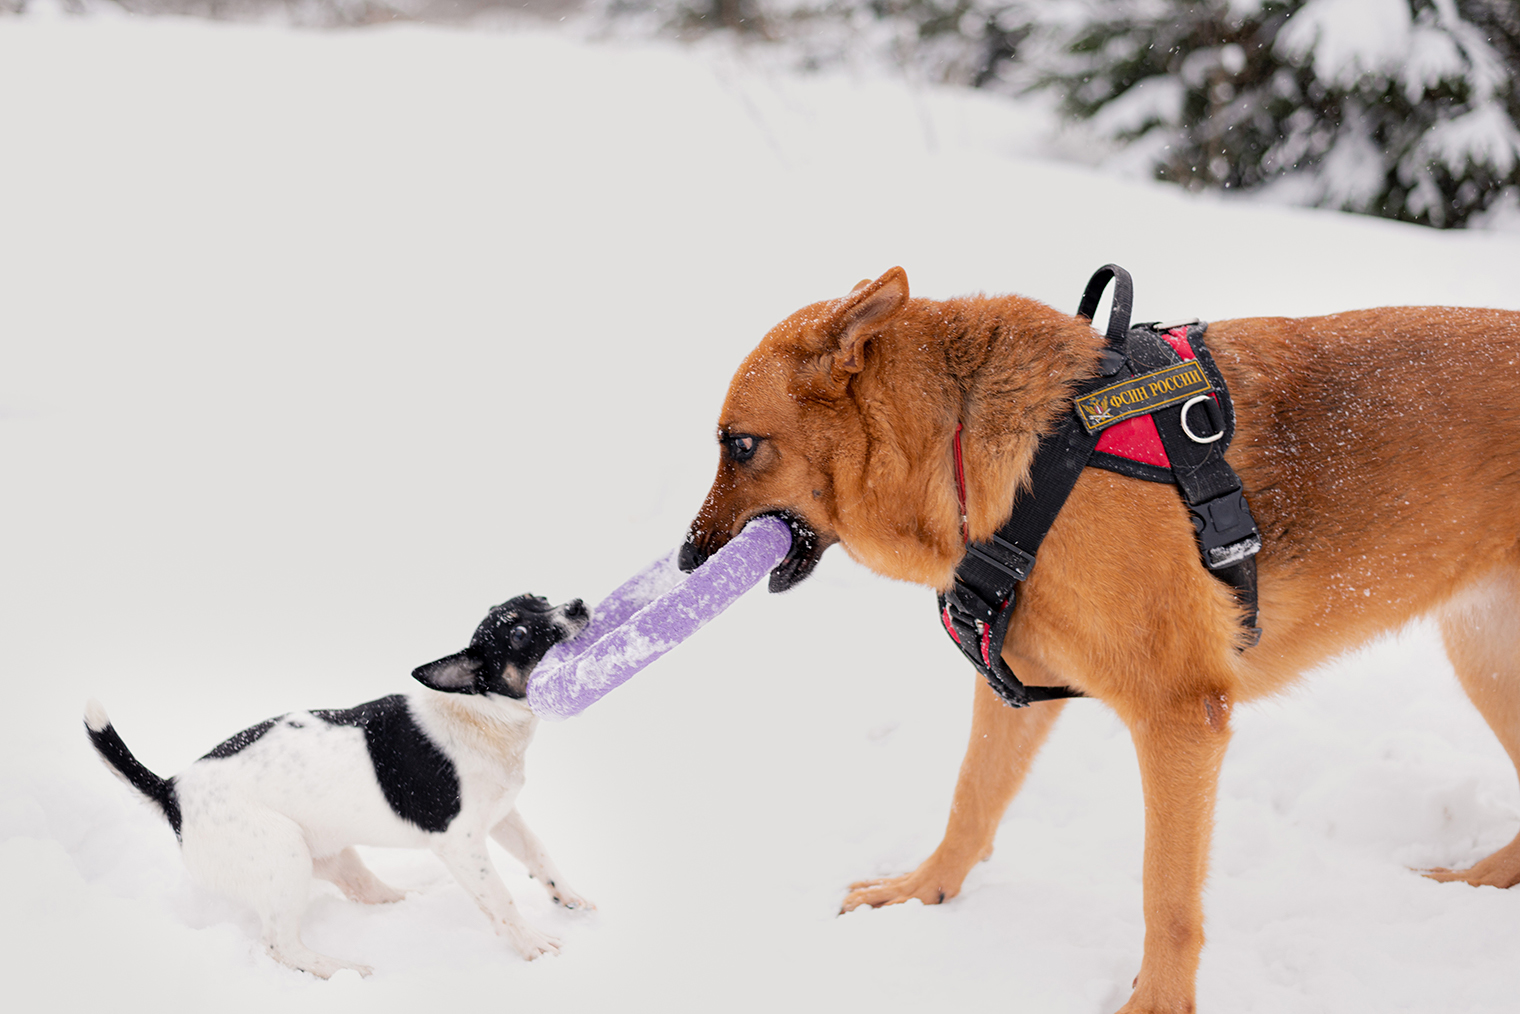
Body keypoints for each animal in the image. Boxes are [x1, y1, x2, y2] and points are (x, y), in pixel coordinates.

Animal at [81, 595, 592, 972]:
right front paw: (531, 943)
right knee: (280, 945)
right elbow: (501, 898)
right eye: (519, 633)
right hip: (283, 858)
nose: (577, 604)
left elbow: (539, 855)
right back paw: (342, 968)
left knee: (364, 888)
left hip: (329, 855)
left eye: (538, 597)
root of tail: (172, 790)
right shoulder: (461, 842)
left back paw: (406, 899)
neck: (479, 713)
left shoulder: (503, 816)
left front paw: (569, 899)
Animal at [684, 267, 1520, 1014]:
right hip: (1487, 659)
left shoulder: (1180, 717)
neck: (991, 452)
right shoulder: (1020, 687)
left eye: (741, 446)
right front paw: (923, 893)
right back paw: (1479, 882)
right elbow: (971, 801)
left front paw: (1156, 1005)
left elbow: (1167, 897)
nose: (689, 561)